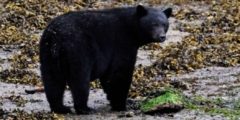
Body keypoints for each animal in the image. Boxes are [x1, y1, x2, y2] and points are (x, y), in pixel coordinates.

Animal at [39, 4, 172, 114]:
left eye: (164, 24)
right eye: (154, 24)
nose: (162, 36)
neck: (131, 27)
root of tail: (57, 38)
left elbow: (108, 77)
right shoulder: (122, 42)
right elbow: (119, 73)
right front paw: (121, 105)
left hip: (47, 53)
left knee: (52, 81)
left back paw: (60, 108)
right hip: (78, 49)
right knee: (80, 79)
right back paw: (84, 108)